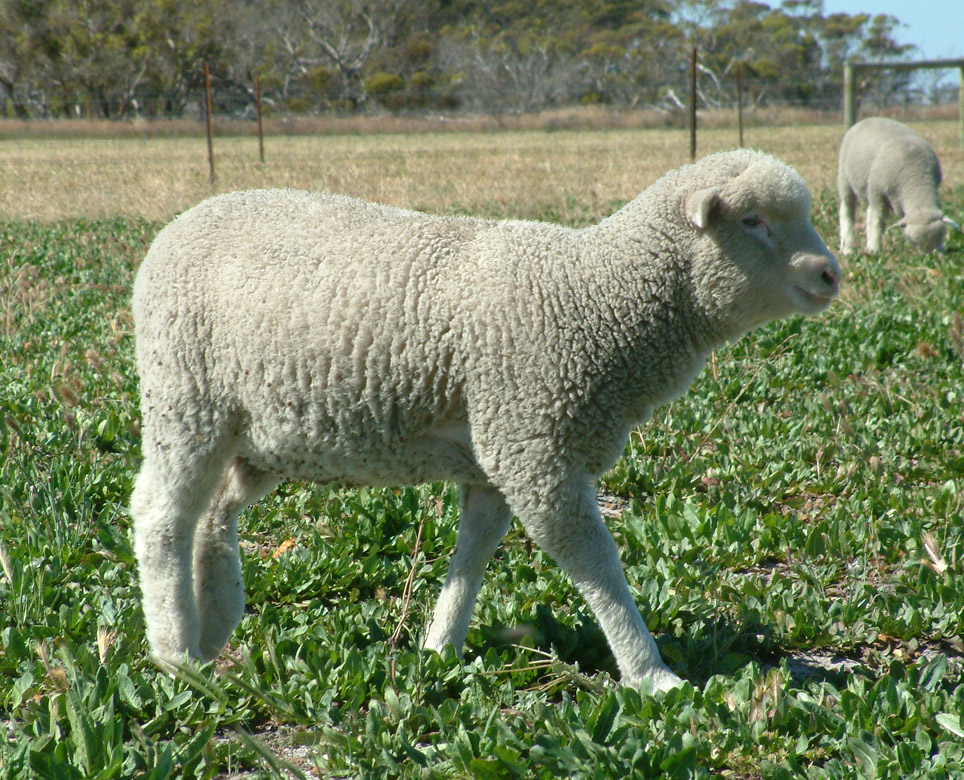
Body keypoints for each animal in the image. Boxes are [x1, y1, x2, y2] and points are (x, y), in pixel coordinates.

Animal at [132, 146, 840, 688]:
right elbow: (594, 562)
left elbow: (474, 551)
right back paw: (176, 655)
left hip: (258, 433)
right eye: (752, 220)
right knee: (162, 515)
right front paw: (650, 673)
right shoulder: (534, 445)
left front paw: (439, 648)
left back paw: (213, 624)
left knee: (213, 512)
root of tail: (174, 227)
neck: (597, 295)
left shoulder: (498, 451)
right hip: (186, 397)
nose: (831, 273)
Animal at [836, 116, 956, 253]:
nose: (930, 256)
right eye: (913, 240)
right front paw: (874, 249)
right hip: (844, 178)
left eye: (941, 236)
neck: (915, 176)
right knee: (847, 211)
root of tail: (869, 118)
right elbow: (876, 222)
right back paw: (847, 248)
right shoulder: (877, 193)